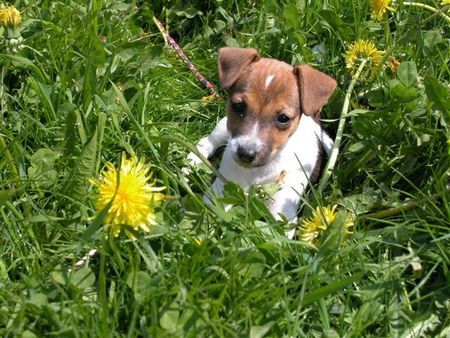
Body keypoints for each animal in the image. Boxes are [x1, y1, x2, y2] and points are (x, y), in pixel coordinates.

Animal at [185, 47, 336, 236]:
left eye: (284, 118)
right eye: (238, 106)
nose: (246, 154)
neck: (257, 173)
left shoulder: (282, 213)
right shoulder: (221, 191)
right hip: (222, 128)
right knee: (208, 141)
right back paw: (192, 161)